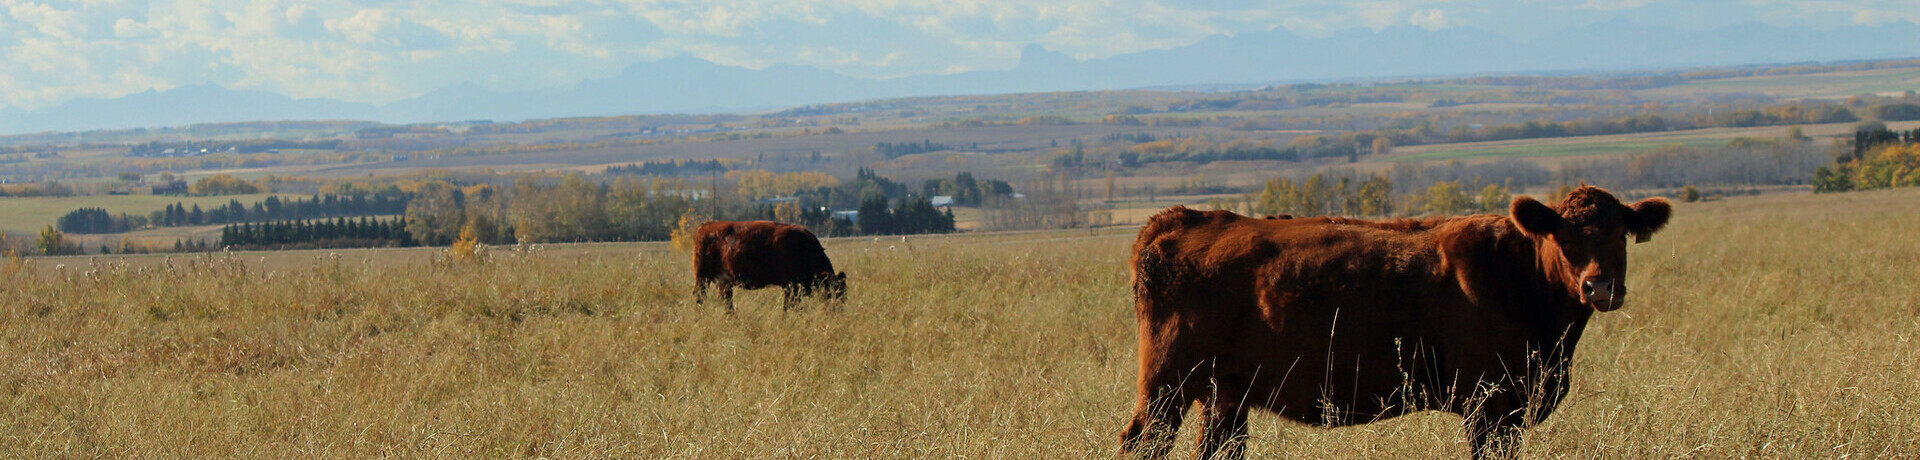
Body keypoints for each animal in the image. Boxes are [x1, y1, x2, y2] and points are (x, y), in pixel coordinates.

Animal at [687, 220, 844, 312]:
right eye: (834, 292)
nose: (839, 310)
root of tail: (704, 226)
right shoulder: (790, 286)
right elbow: (789, 306)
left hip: (724, 282)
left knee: (726, 299)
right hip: (702, 278)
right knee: (700, 296)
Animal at [1121, 184, 1674, 458]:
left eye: (1620, 233)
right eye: (1566, 235)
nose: (1599, 287)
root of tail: (1179, 219)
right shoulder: (1491, 404)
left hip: (1225, 393)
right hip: (1167, 384)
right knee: (1143, 441)